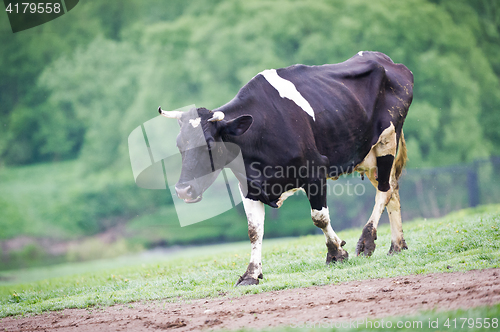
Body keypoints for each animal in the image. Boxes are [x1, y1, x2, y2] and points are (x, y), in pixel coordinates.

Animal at [160, 51, 414, 286]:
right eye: (179, 144)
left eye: (210, 143)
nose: (183, 190)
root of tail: (385, 59)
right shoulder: (249, 186)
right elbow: (254, 230)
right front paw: (251, 274)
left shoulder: (314, 172)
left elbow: (319, 217)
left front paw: (336, 253)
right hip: (368, 155)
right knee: (392, 189)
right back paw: (397, 246)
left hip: (387, 140)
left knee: (384, 191)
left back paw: (367, 241)